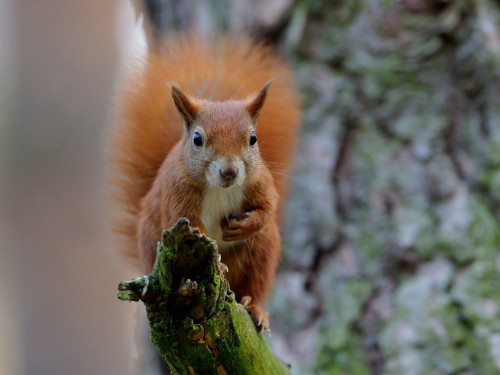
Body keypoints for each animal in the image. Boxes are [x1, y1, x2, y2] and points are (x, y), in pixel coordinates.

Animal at [109, 33, 300, 330]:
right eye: (197, 139)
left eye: (253, 138)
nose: (230, 172)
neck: (220, 189)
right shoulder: (178, 194)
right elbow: (189, 223)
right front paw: (218, 265)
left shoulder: (259, 181)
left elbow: (268, 206)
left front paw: (246, 225)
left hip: (263, 250)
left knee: (254, 284)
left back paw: (255, 308)